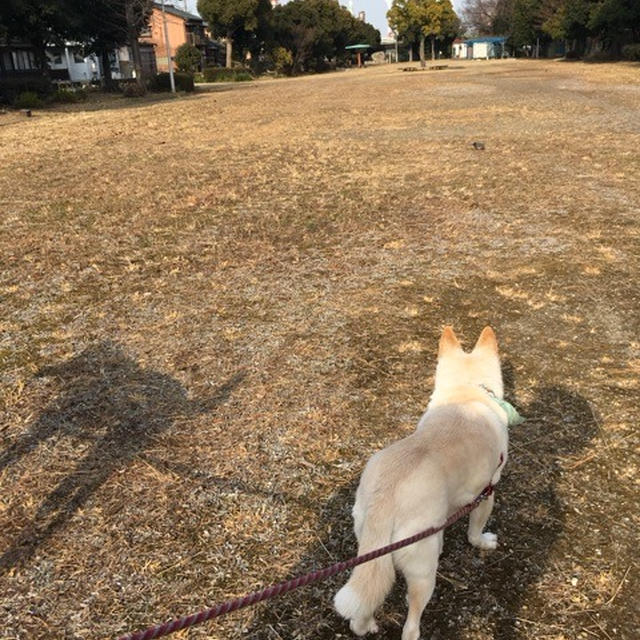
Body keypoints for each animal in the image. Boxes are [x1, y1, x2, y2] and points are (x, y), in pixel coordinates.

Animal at [332, 328, 516, 640]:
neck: (466, 392)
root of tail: (386, 496)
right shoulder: (485, 493)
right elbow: (474, 532)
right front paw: (483, 541)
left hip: (370, 548)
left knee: (363, 608)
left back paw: (365, 625)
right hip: (423, 571)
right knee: (411, 621)